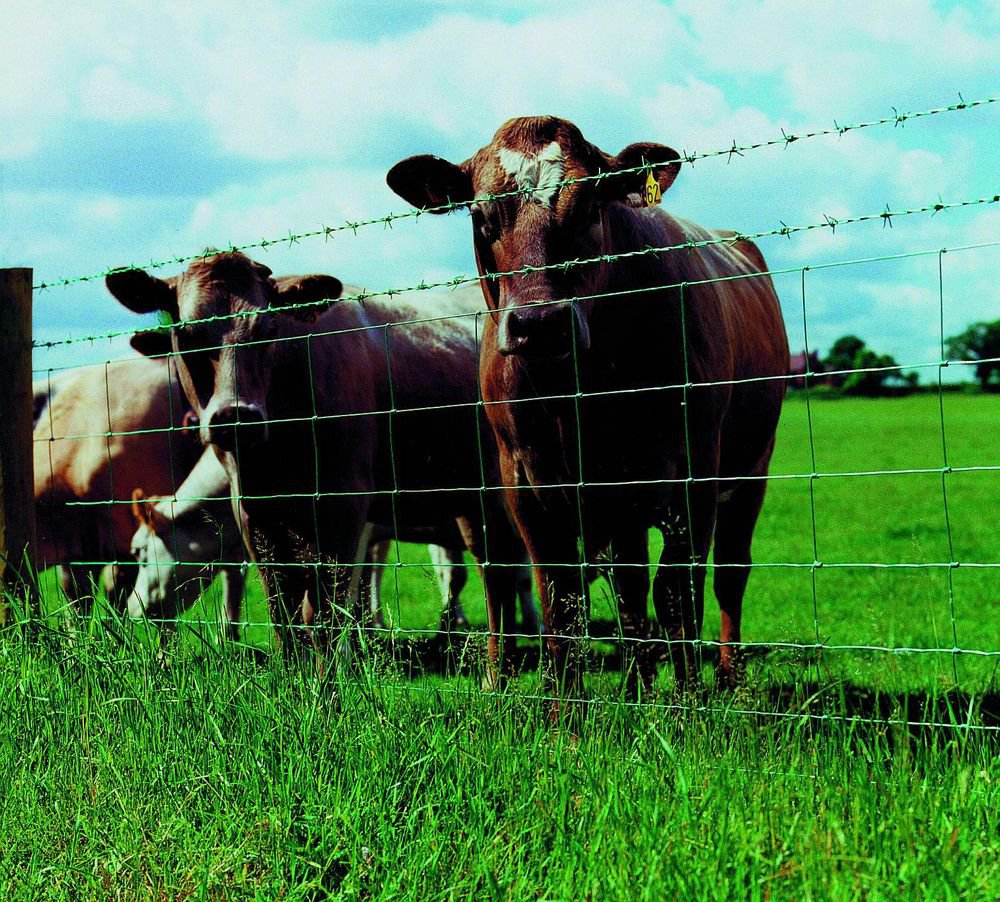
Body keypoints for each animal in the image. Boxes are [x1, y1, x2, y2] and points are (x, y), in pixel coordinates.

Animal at [108, 254, 528, 680]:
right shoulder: (256, 519)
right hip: (478, 502)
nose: (235, 415)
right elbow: (284, 614)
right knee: (497, 569)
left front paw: (335, 676)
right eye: (188, 333)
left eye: (268, 328)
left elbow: (330, 609)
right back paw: (499, 671)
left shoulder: (347, 512)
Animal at [388, 115, 788, 708]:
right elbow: (562, 599)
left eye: (591, 205)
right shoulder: (524, 484)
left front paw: (688, 704)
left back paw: (727, 677)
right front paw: (565, 714)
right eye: (481, 216)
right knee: (627, 587)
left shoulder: (691, 476)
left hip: (748, 470)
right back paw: (637, 683)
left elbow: (678, 593)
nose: (538, 324)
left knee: (727, 575)